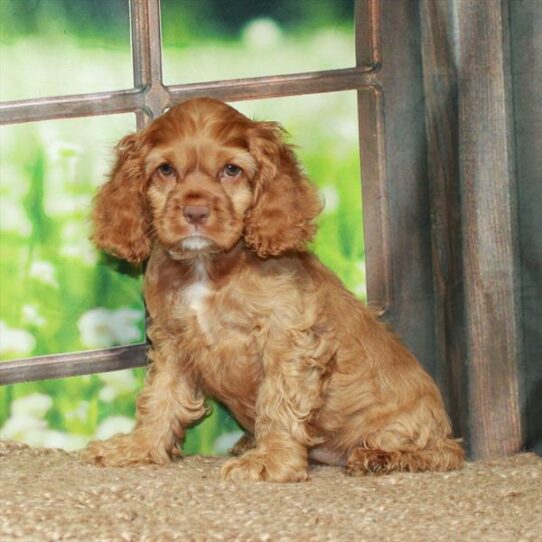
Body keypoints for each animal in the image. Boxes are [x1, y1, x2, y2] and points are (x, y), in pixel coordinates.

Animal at [83, 98, 466, 484]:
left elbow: (278, 401)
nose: (195, 211)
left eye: (231, 170)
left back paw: (381, 457)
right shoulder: (173, 341)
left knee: (445, 453)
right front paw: (138, 447)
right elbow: (160, 396)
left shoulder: (287, 339)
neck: (208, 266)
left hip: (409, 427)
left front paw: (272, 461)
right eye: (165, 169)